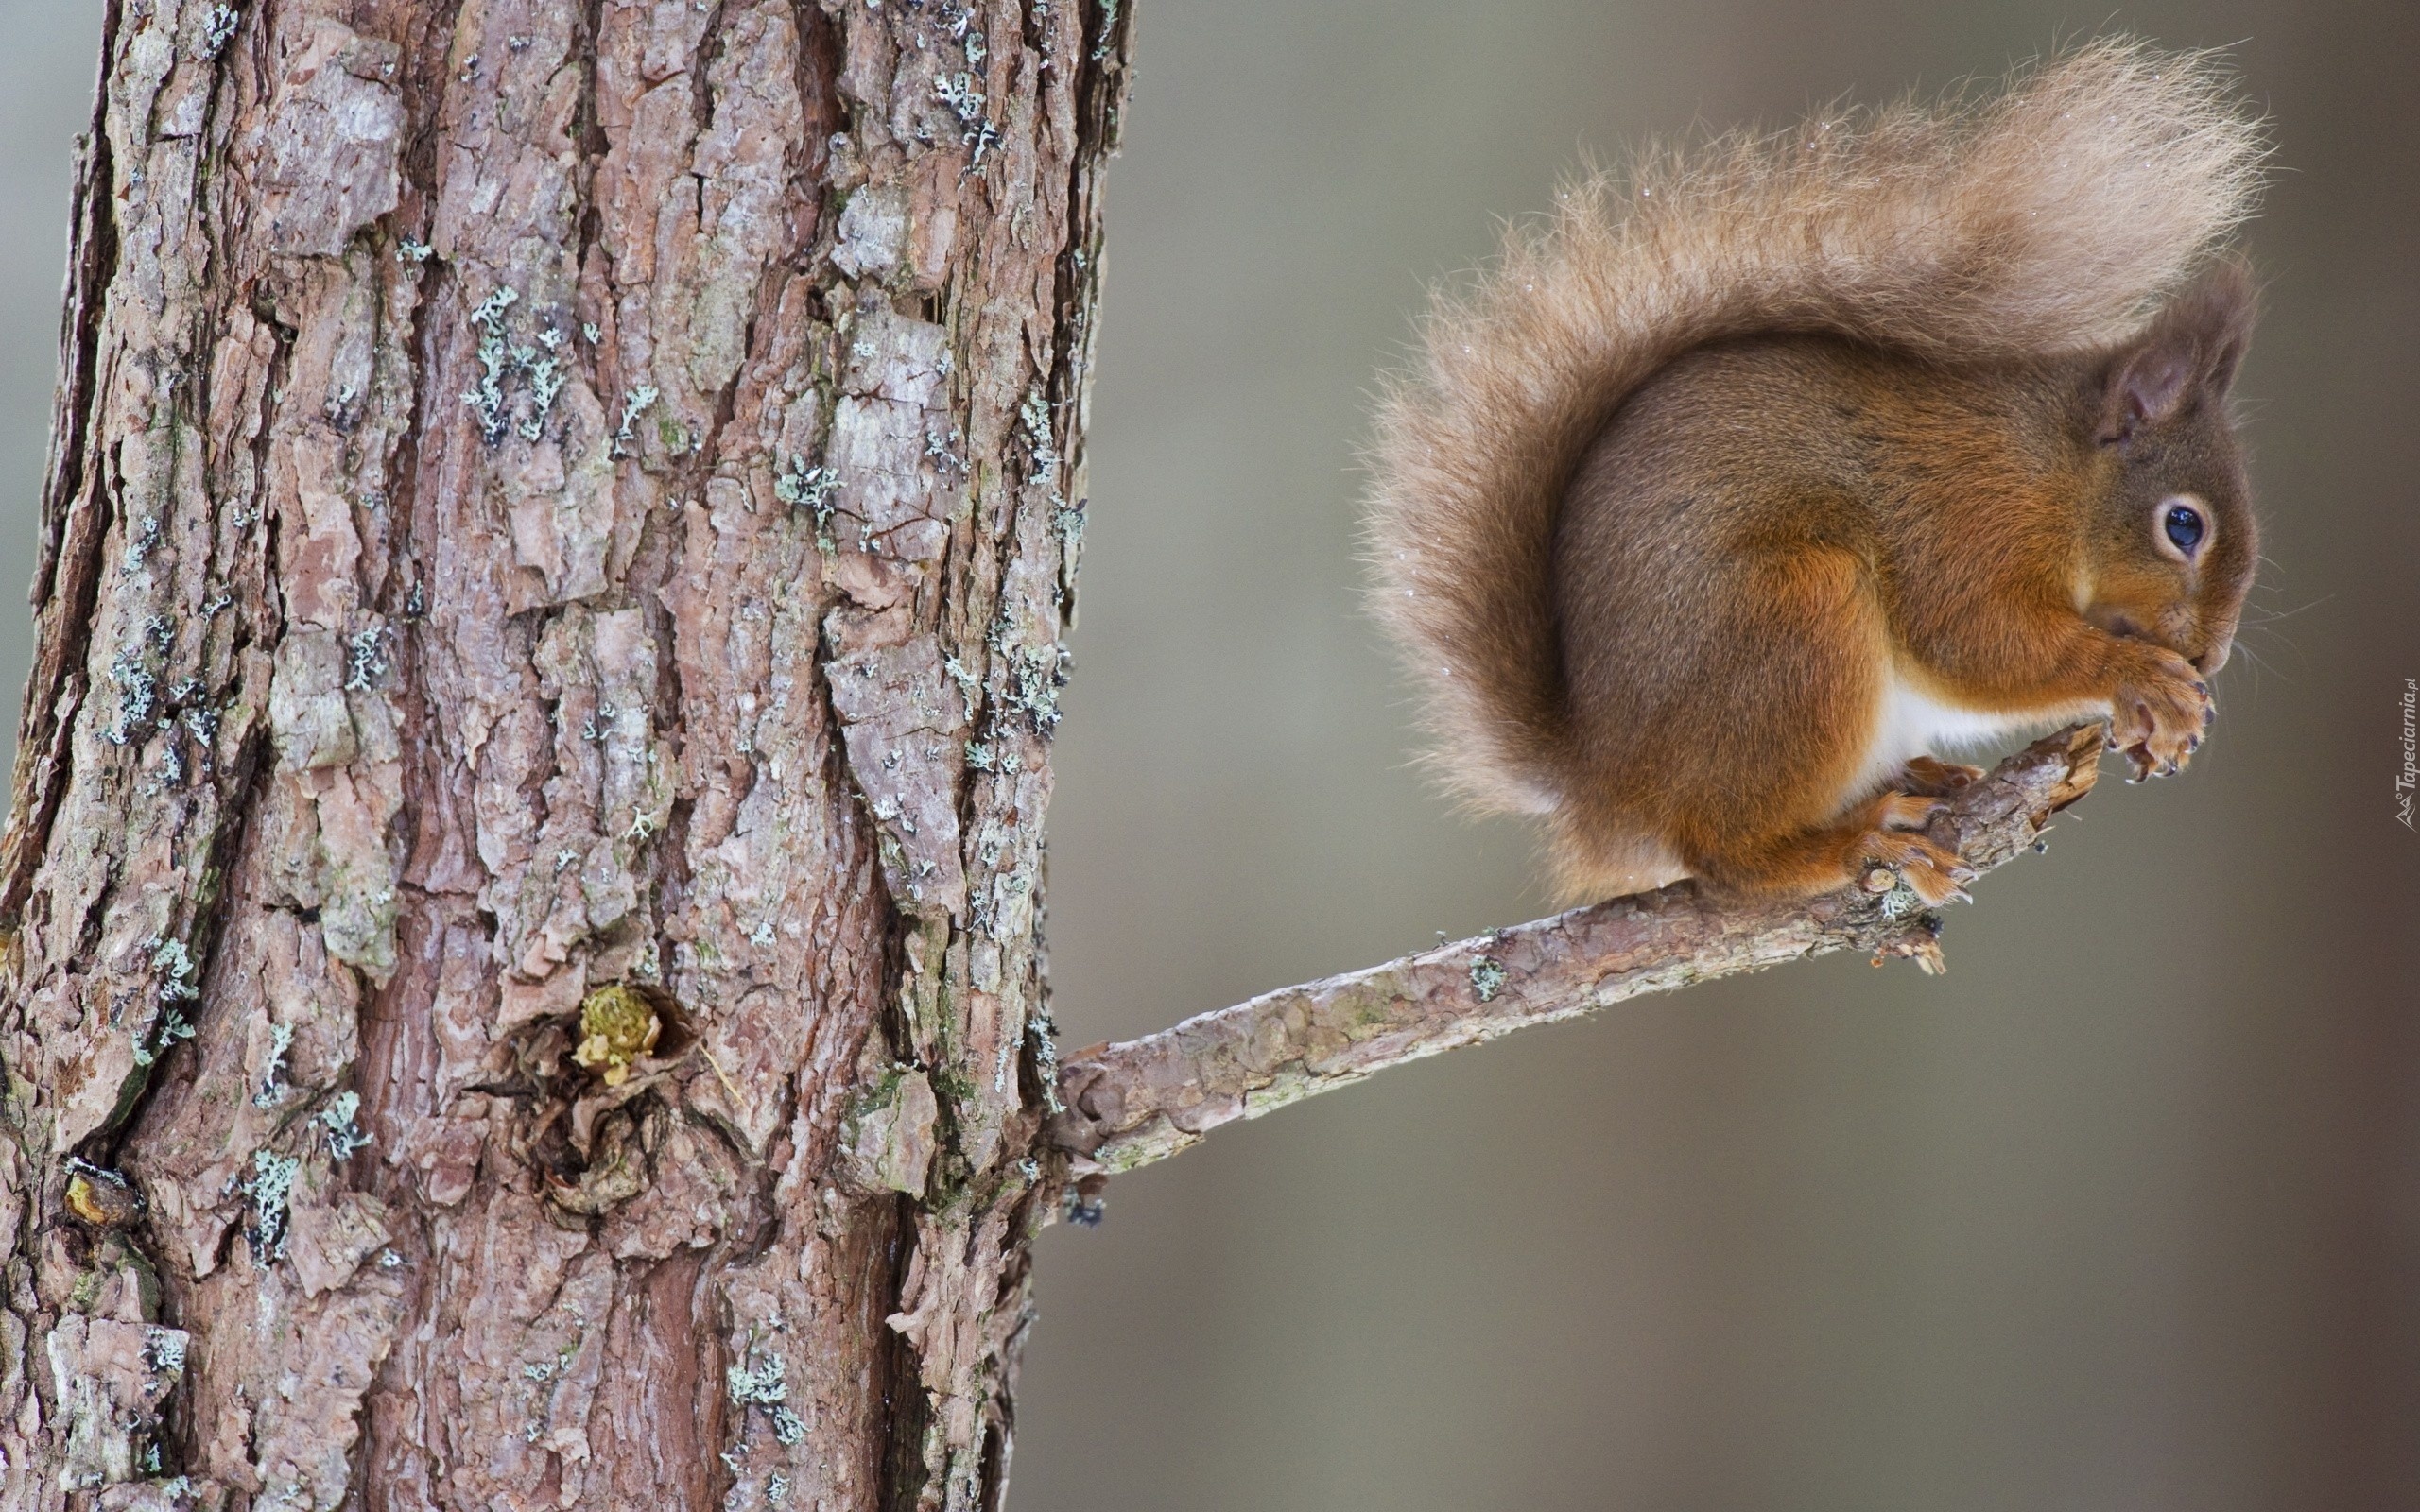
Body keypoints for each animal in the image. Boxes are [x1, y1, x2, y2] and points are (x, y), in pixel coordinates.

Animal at [1384, 41, 2265, 900]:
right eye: (2182, 526)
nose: (2209, 660)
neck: (2055, 471)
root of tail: (1606, 788)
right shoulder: (1966, 524)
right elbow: (1977, 645)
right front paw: (2140, 679)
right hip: (1795, 624)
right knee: (1725, 856)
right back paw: (1851, 843)